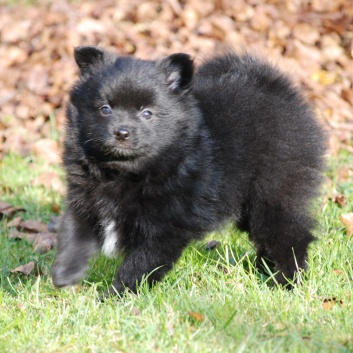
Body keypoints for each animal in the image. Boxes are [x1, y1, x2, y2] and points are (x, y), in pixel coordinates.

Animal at [51, 46, 324, 294]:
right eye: (105, 109)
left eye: (147, 113)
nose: (122, 132)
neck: (125, 172)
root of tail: (280, 90)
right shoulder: (87, 201)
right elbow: (74, 235)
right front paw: (65, 273)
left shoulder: (166, 226)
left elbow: (140, 264)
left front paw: (118, 295)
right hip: (246, 207)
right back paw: (264, 270)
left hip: (273, 193)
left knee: (290, 235)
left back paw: (286, 282)